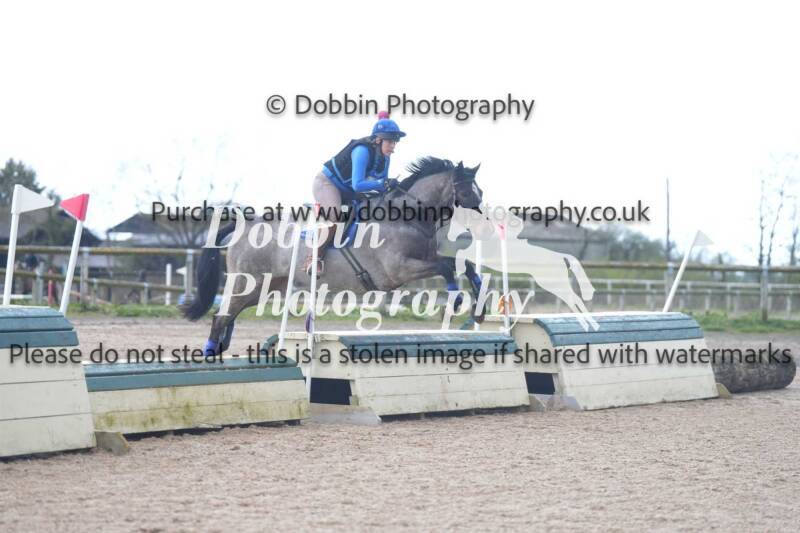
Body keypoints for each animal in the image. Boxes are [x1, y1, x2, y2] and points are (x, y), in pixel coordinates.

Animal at [181, 157, 484, 354]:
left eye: (480, 191)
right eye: (465, 191)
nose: (484, 225)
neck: (408, 217)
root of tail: (246, 223)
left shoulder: (421, 260)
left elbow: (462, 264)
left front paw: (479, 305)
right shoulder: (397, 270)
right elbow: (445, 267)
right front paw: (457, 300)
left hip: (265, 288)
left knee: (229, 316)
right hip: (247, 282)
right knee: (220, 317)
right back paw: (210, 355)